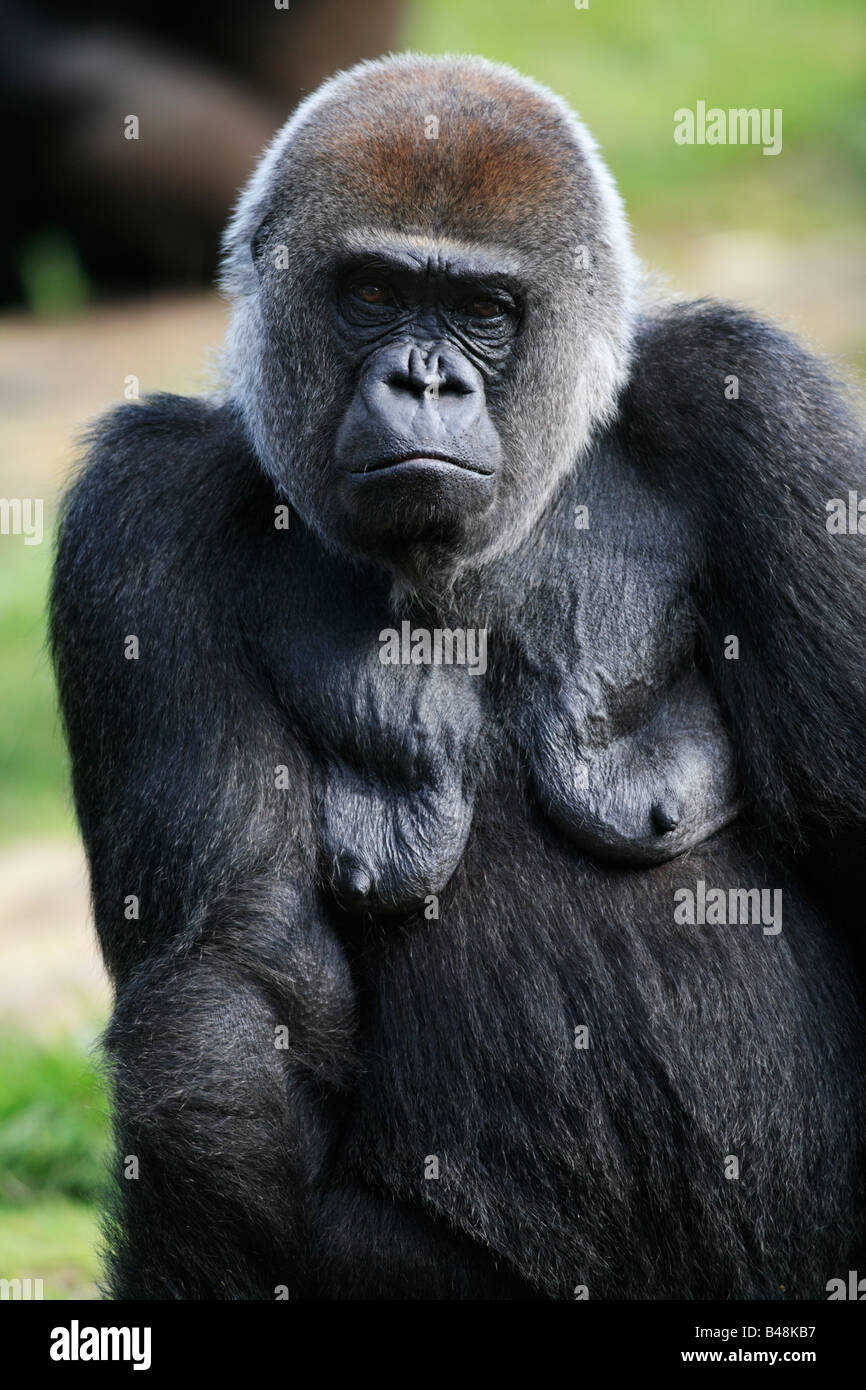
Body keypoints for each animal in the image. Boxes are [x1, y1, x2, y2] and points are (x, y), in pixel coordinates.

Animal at [52, 51, 866, 1289]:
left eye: (485, 312)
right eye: (373, 294)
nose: (425, 383)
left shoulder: (768, 417)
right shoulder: (138, 518)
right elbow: (230, 990)